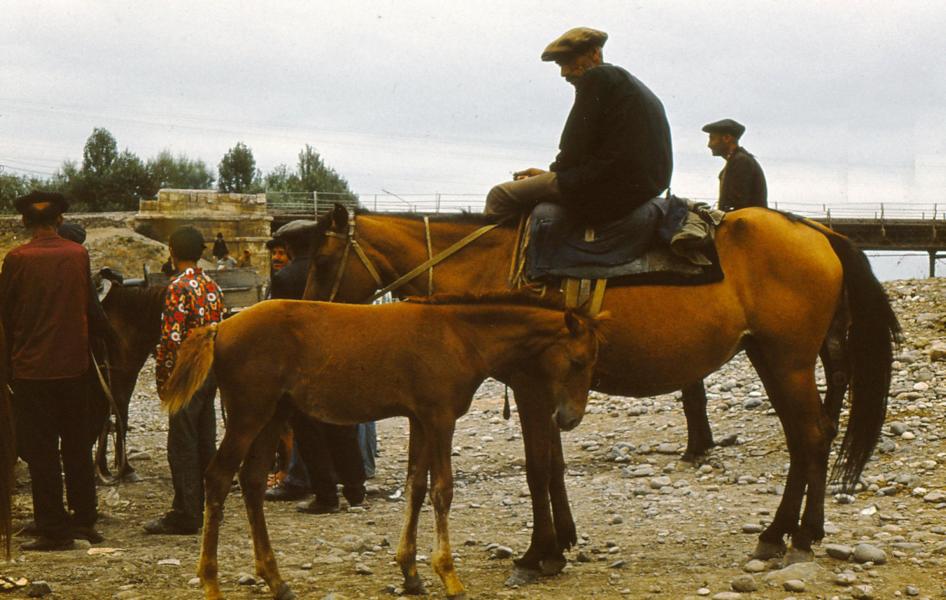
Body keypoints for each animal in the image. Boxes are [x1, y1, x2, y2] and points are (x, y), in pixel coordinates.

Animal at [159, 296, 600, 600]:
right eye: (578, 361)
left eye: (591, 361)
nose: (569, 418)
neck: (458, 336)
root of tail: (220, 326)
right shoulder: (440, 418)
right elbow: (442, 491)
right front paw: (449, 575)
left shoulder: (420, 419)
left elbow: (415, 487)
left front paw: (411, 572)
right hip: (249, 415)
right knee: (218, 478)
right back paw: (212, 583)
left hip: (273, 416)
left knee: (251, 482)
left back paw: (277, 580)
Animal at [302, 206, 900, 576]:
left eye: (324, 258)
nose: (308, 311)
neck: (493, 268)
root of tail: (820, 233)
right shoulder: (547, 391)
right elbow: (555, 466)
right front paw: (562, 540)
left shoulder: (532, 387)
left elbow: (537, 468)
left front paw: (538, 554)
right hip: (773, 359)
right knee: (808, 439)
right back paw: (791, 532)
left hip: (787, 361)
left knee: (812, 437)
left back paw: (792, 534)